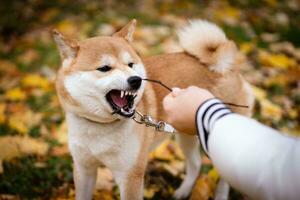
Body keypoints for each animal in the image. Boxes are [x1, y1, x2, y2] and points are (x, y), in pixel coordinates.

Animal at [53, 19, 253, 200]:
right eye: (104, 68)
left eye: (130, 64)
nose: (135, 80)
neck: (100, 126)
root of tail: (224, 65)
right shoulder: (83, 169)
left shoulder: (130, 176)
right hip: (185, 135)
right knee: (195, 164)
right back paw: (183, 192)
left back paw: (220, 195)